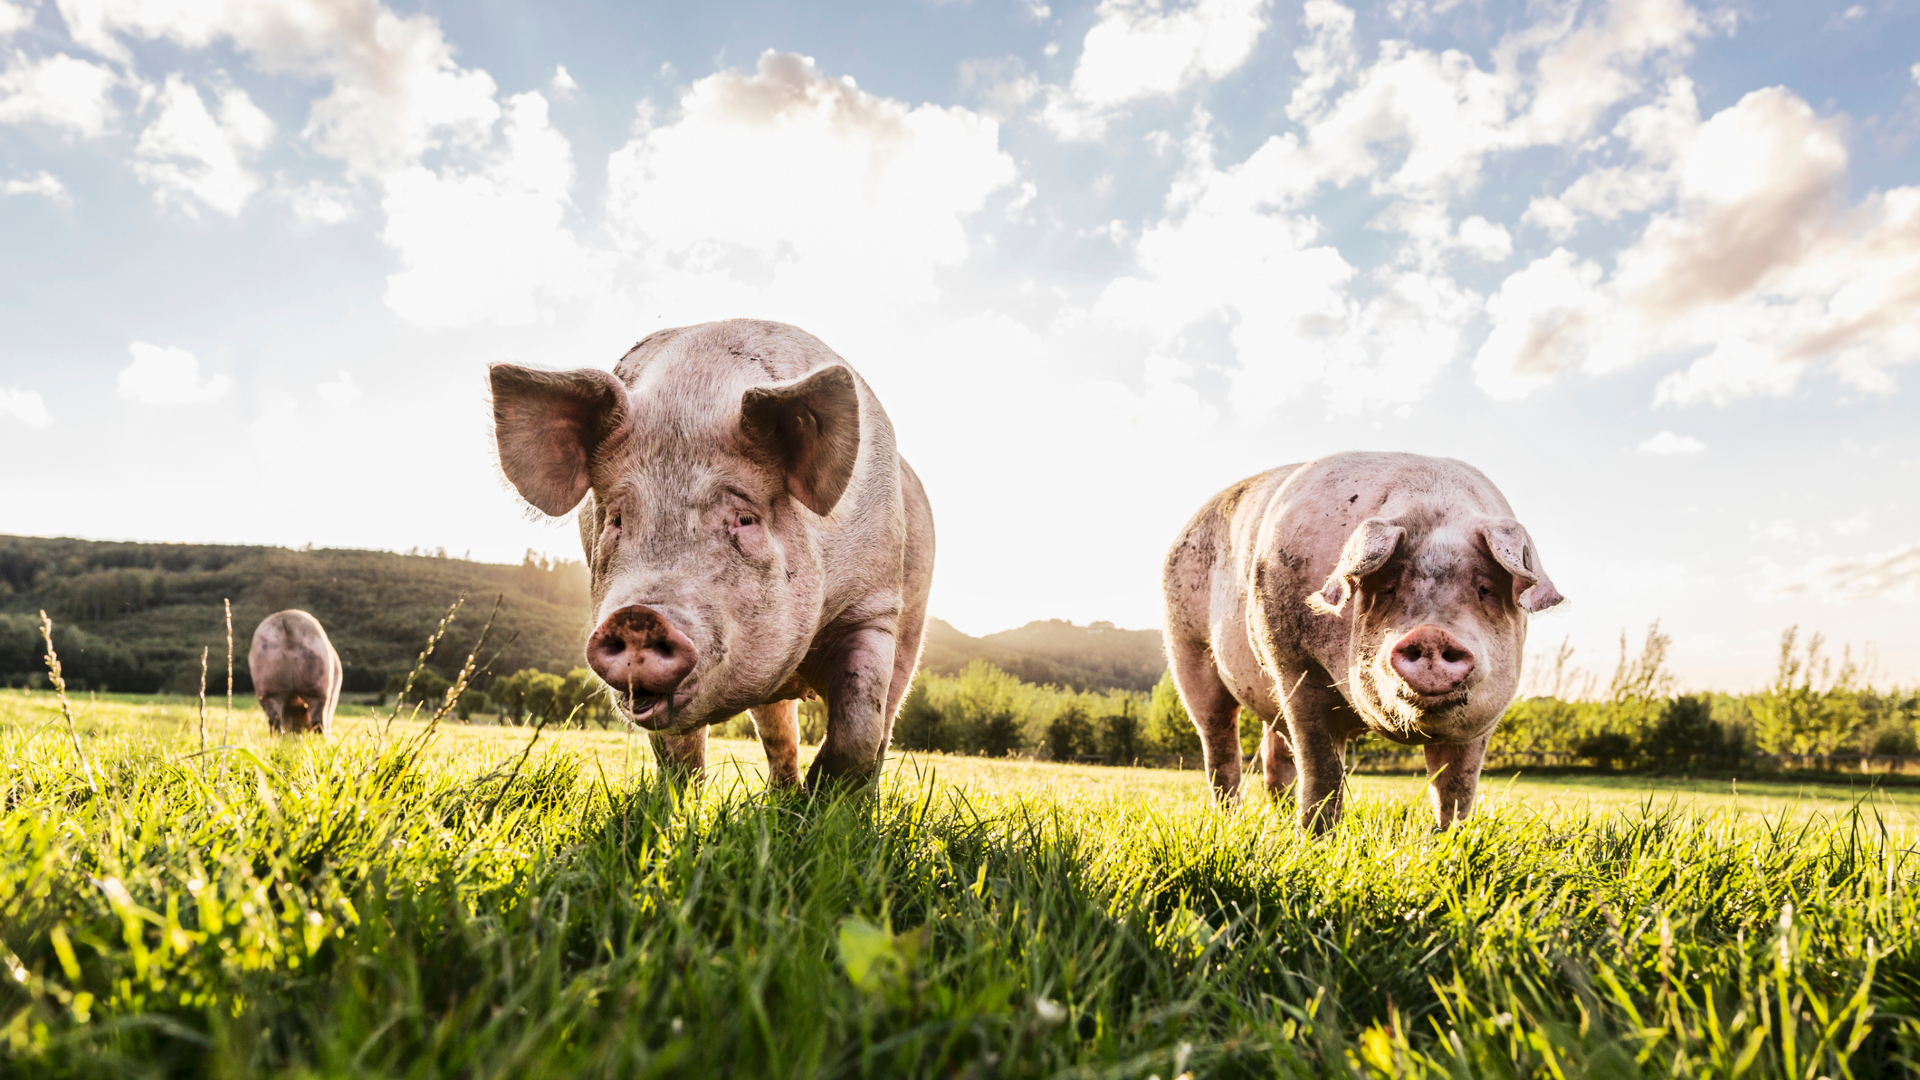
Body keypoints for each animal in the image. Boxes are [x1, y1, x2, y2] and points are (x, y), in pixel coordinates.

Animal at [491, 315, 933, 787]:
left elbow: (859, 724)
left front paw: (828, 799)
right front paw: (675, 802)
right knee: (779, 731)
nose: (637, 617)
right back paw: (785, 796)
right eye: (616, 519)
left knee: (884, 720)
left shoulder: (873, 604)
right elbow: (678, 754)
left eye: (744, 519)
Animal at [1159, 449, 1566, 826]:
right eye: (1388, 587)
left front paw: (1447, 841)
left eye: (1484, 589)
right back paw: (1233, 819)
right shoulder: (1293, 664)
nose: (1432, 633)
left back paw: (1280, 818)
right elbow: (1323, 771)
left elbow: (1456, 787)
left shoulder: (1484, 718)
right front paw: (1316, 840)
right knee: (1219, 745)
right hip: (1187, 650)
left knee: (1274, 754)